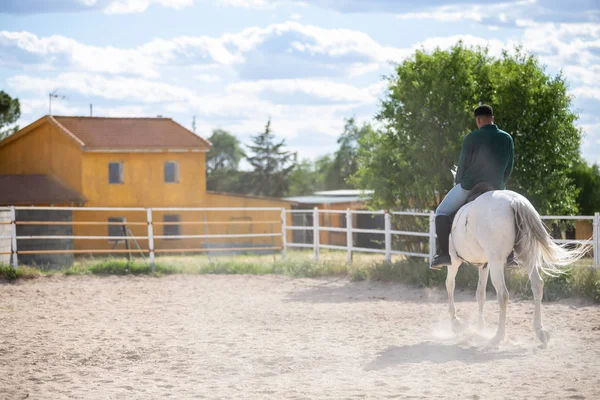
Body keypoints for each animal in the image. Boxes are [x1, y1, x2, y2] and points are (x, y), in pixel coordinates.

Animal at [448, 188, 588, 346]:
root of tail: (515, 200)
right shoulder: (484, 265)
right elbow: (480, 294)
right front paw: (479, 328)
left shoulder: (454, 261)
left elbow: (450, 285)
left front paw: (455, 322)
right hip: (526, 256)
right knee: (537, 285)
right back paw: (540, 332)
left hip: (496, 261)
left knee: (502, 294)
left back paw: (499, 336)